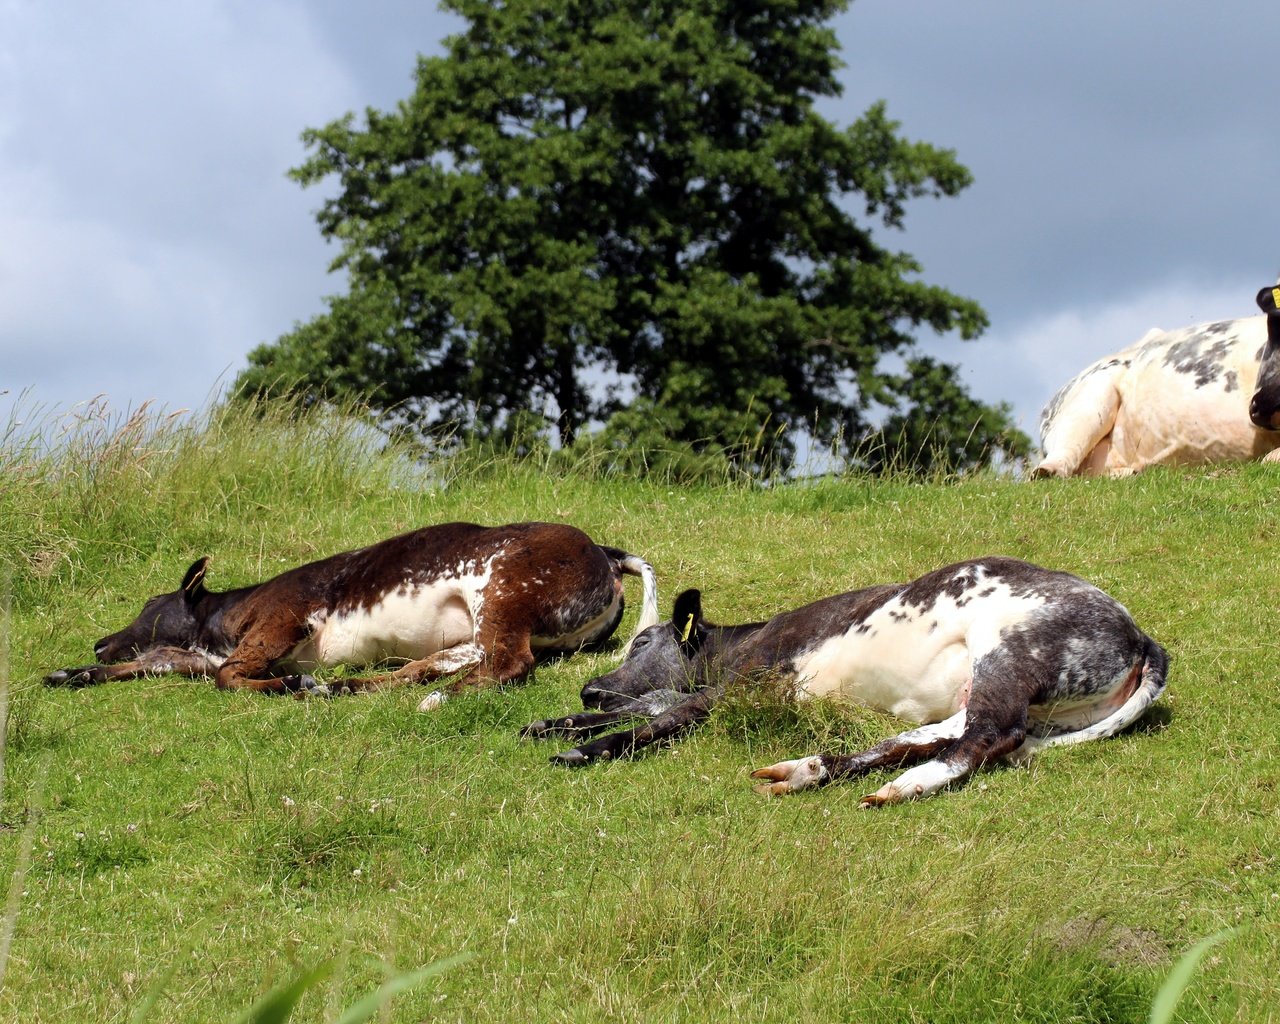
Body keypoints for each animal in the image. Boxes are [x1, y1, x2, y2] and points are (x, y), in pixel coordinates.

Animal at [45, 519, 660, 706]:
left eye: (151, 604)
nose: (99, 640)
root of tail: (605, 550)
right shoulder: (199, 655)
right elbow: (157, 662)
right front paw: (73, 672)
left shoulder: (283, 617)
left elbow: (230, 676)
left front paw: (290, 684)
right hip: (479, 627)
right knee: (432, 665)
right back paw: (347, 686)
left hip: (504, 590)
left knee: (508, 663)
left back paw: (436, 699)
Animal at [522, 555, 1172, 803]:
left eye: (641, 641)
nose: (589, 685)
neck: (741, 641)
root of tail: (1142, 635)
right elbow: (649, 704)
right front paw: (557, 722)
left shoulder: (743, 684)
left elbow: (663, 715)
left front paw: (587, 748)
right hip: (992, 693)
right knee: (932, 736)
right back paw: (806, 771)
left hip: (1008, 655)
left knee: (986, 738)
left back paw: (902, 787)